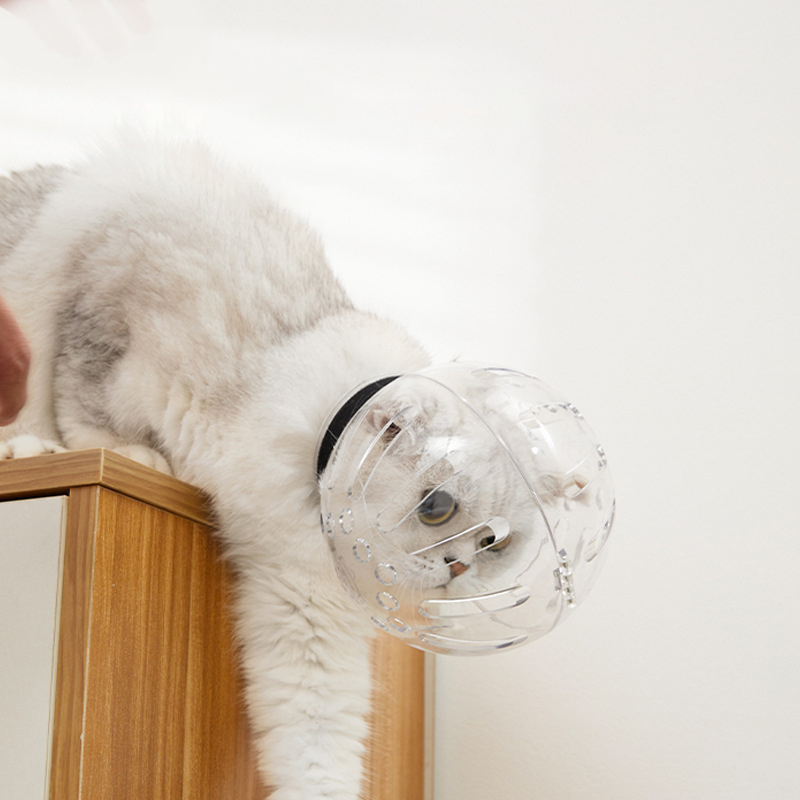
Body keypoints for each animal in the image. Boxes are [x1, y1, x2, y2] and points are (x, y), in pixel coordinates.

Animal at [0, 135, 539, 799]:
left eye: (495, 544)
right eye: (437, 507)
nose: (457, 567)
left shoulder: (306, 616)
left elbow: (317, 749)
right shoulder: (105, 318)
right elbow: (84, 405)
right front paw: (129, 453)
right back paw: (32, 449)